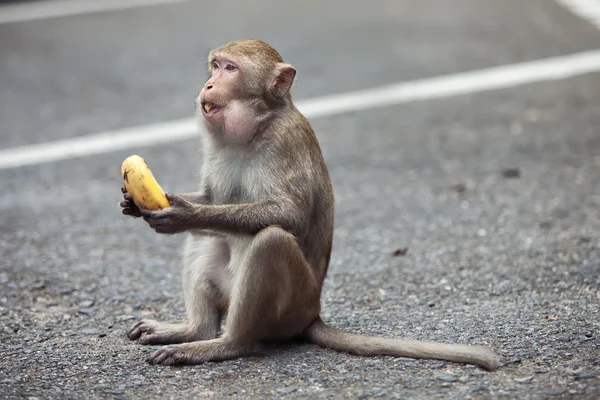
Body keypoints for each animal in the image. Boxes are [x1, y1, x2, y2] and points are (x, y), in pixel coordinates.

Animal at [120, 39, 502, 370]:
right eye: (215, 66)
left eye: (230, 68)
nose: (209, 85)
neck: (255, 129)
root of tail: (313, 312)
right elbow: (214, 200)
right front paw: (139, 204)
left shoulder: (284, 142)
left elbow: (291, 216)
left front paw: (184, 213)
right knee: (207, 236)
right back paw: (193, 330)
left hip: (290, 306)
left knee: (270, 241)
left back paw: (225, 344)